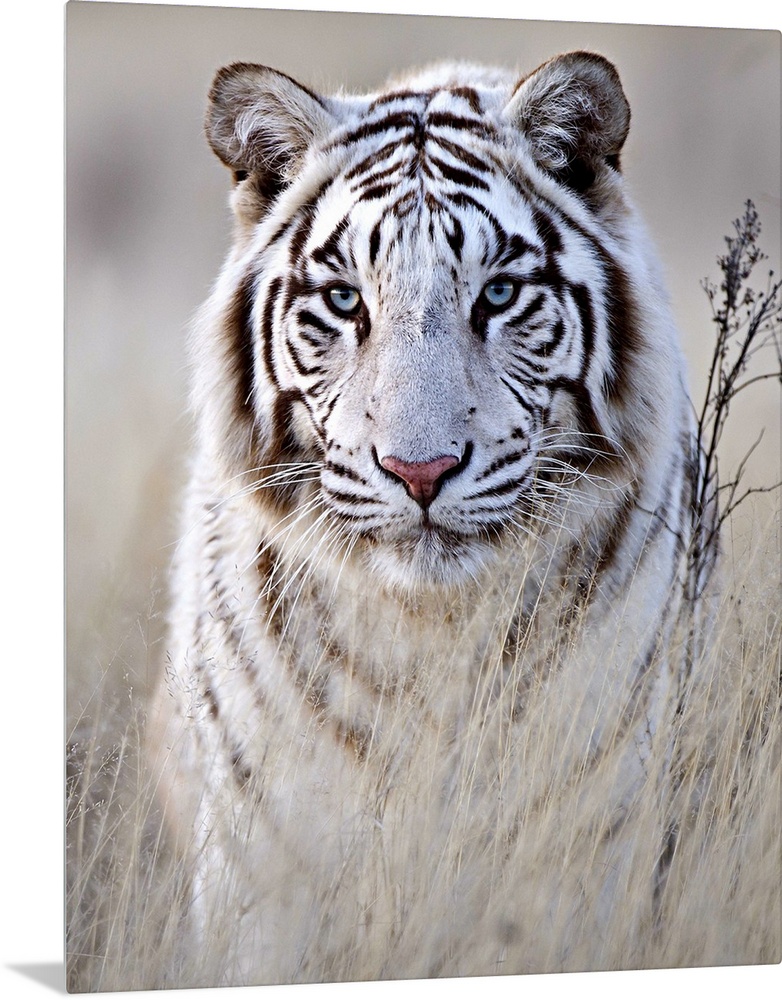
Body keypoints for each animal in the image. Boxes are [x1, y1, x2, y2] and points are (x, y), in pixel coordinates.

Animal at [152, 52, 700, 984]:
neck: (433, 635)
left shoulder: (589, 846)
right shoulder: (267, 869)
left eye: (501, 294)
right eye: (344, 302)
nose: (420, 471)